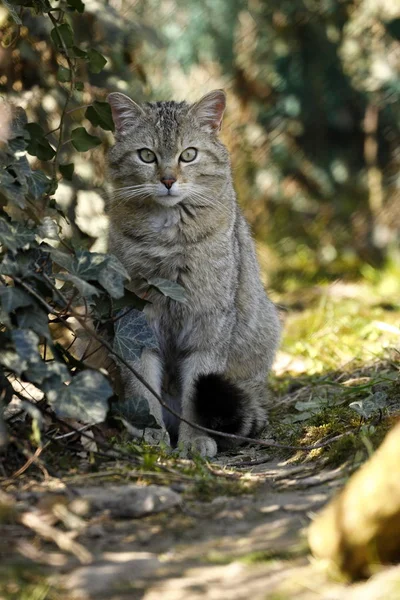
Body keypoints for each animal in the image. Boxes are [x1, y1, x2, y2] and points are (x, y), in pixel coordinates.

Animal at [106, 89, 282, 458]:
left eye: (188, 155)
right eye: (146, 155)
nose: (168, 180)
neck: (168, 238)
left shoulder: (209, 323)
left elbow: (195, 392)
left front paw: (194, 439)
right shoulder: (136, 321)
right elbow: (143, 388)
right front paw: (150, 433)